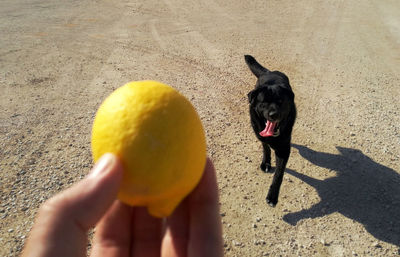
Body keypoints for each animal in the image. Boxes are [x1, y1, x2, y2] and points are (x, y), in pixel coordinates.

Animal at [244, 54, 296, 206]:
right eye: (264, 102)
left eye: (280, 102)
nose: (273, 114)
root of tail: (269, 72)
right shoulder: (260, 135)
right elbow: (265, 147)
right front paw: (266, 163)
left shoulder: (284, 150)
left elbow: (279, 174)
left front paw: (273, 196)